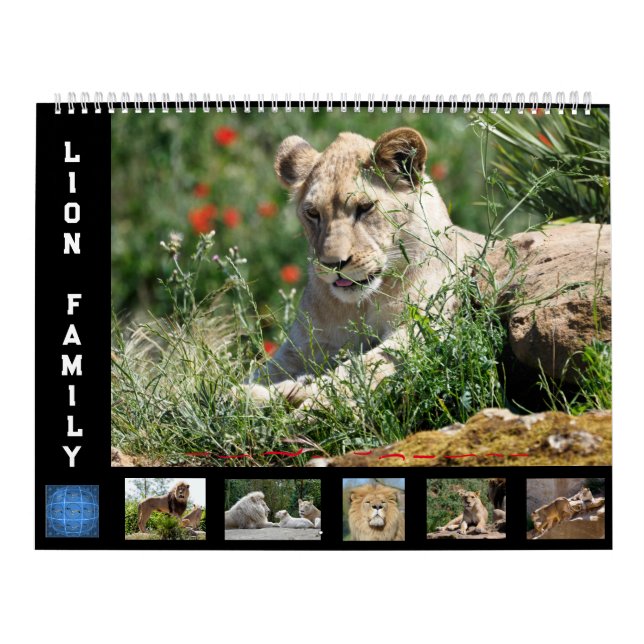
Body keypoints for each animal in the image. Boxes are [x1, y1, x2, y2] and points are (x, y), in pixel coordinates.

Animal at [247, 127, 483, 408]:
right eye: (313, 213)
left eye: (365, 207)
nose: (333, 263)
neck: (362, 304)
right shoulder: (303, 345)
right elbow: (261, 374)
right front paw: (248, 394)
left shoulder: (423, 328)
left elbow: (357, 370)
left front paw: (307, 399)